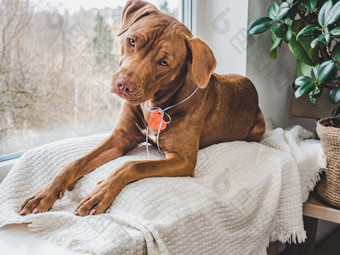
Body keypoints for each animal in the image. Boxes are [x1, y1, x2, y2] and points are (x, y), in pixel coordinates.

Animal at [18, 0, 266, 216]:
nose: (123, 84)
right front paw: (44, 193)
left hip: (258, 128)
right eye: (132, 41)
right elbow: (74, 163)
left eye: (164, 62)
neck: (155, 105)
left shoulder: (183, 160)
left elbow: (131, 165)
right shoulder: (120, 137)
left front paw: (100, 193)